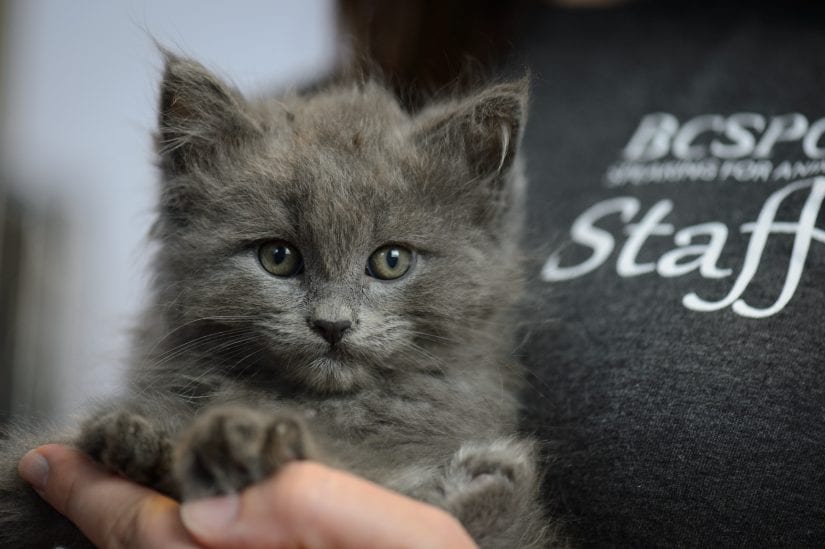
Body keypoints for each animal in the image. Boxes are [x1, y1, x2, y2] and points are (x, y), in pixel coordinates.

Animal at [1, 52, 552, 548]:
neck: (323, 408)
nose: (332, 324)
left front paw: (246, 441)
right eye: (278, 256)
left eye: (392, 260)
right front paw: (147, 439)